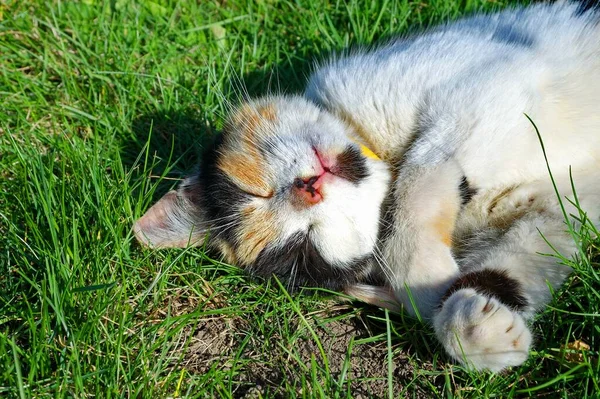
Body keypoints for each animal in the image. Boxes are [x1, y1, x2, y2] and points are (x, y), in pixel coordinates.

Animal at [134, 1, 600, 374]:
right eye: (304, 245)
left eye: (255, 194)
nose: (309, 189)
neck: (380, 148)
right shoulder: (556, 204)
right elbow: (529, 253)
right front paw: (474, 325)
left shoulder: (483, 84)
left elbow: (418, 180)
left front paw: (421, 276)